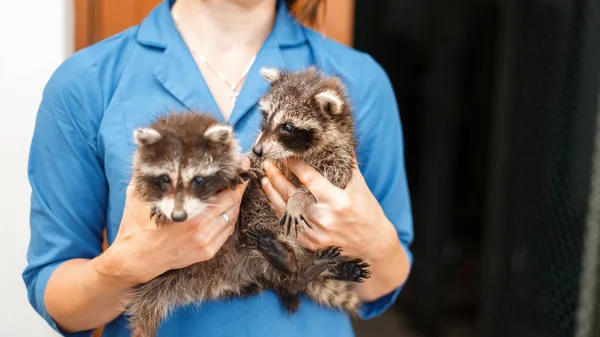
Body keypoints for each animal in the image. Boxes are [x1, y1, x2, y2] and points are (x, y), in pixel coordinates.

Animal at [238, 66, 370, 316]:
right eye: (265, 116)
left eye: (287, 127)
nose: (258, 149)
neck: (295, 154)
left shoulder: (340, 158)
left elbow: (330, 181)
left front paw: (299, 199)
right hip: (257, 214)